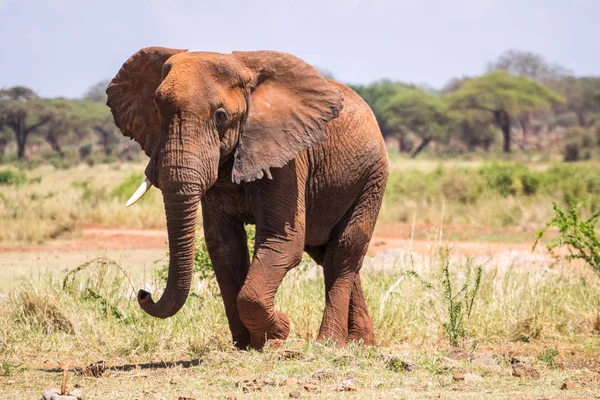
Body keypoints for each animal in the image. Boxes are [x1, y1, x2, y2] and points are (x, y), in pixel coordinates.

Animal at [106, 47, 390, 348]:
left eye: (220, 115)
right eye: (157, 110)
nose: (143, 293)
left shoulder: (287, 158)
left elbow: (282, 240)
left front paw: (278, 332)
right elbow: (225, 247)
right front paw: (247, 344)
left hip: (372, 177)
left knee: (345, 250)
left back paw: (329, 343)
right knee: (330, 255)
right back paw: (361, 343)